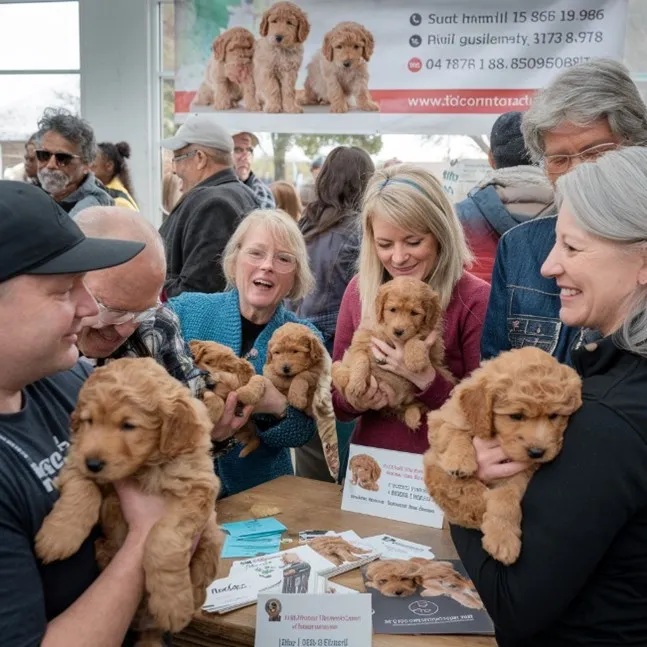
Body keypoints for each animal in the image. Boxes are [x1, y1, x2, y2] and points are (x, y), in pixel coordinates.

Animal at [35, 356, 223, 644]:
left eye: (128, 425)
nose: (93, 463)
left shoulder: (196, 487)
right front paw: (59, 536)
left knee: (202, 572)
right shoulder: (76, 457)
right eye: (89, 421)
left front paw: (172, 604)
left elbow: (162, 538)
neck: (142, 468)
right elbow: (82, 488)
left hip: (212, 537)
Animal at [264, 324, 342, 480]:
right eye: (277, 353)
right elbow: (271, 373)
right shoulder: (271, 368)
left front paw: (296, 398)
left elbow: (301, 376)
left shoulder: (316, 370)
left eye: (295, 351)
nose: (285, 368)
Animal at [332, 274, 454, 430]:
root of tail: (396, 403)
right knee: (336, 368)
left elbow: (415, 339)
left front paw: (415, 360)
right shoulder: (361, 341)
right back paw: (344, 378)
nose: (398, 331)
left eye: (414, 313)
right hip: (340, 363)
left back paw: (412, 417)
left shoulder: (433, 342)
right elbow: (361, 359)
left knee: (416, 404)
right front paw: (356, 384)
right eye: (393, 309)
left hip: (443, 373)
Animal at [422, 346, 584, 564]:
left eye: (553, 416)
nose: (537, 452)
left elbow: (506, 499)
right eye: (516, 416)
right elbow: (454, 433)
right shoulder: (443, 418)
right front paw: (460, 461)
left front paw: (503, 539)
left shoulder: (521, 470)